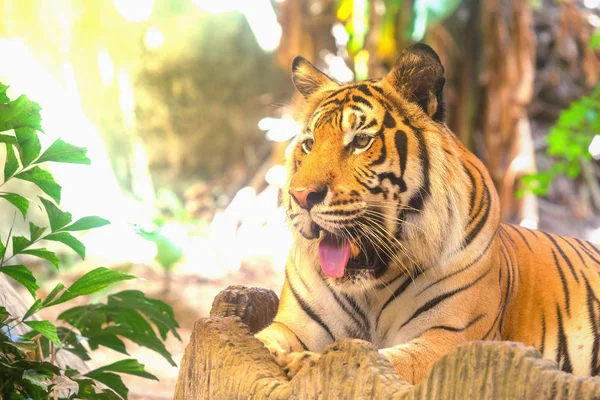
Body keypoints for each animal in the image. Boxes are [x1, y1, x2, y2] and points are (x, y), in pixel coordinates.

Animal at [254, 43, 600, 384]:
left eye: (361, 141)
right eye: (309, 144)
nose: (300, 196)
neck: (370, 291)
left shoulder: (451, 337)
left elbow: (370, 358)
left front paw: (301, 362)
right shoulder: (294, 325)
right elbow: (257, 341)